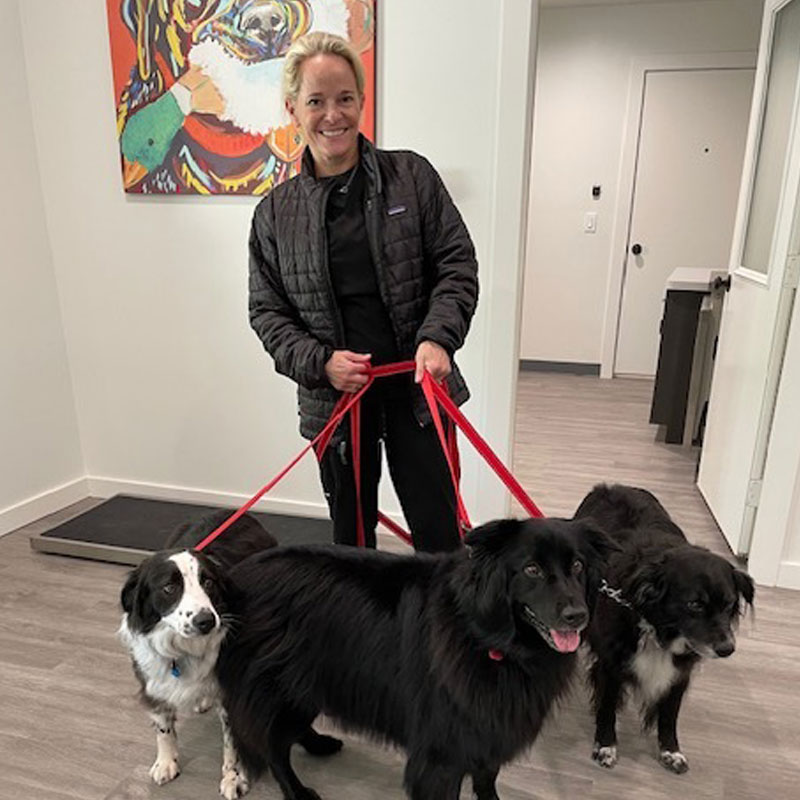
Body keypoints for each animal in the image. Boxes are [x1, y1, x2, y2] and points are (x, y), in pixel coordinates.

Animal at [119, 510, 340, 796]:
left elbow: (232, 743)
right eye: (169, 588)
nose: (205, 621)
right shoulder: (153, 680)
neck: (184, 648)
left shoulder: (233, 693)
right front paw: (166, 761)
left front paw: (234, 776)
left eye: (208, 582)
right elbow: (163, 727)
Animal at [216, 516, 616, 796]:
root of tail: (236, 579)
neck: (489, 639)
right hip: (278, 689)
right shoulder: (442, 755)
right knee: (271, 747)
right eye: (531, 569)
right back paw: (297, 791)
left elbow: (487, 781)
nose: (577, 616)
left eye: (578, 566)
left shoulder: (487, 731)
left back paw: (319, 743)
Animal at [576, 482, 752, 776]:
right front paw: (606, 746)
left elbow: (669, 714)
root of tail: (610, 486)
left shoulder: (680, 672)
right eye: (695, 604)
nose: (727, 649)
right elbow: (607, 708)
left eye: (729, 604)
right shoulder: (612, 666)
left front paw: (671, 751)